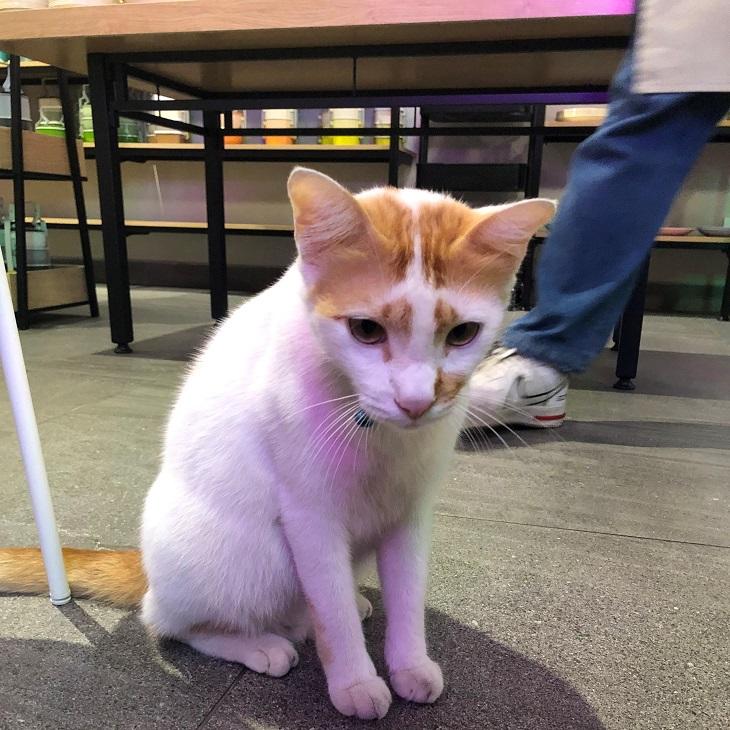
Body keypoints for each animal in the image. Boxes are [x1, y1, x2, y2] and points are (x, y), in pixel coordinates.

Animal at [0, 167, 554, 720]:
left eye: (462, 334)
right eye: (366, 329)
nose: (415, 401)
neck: (379, 435)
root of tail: (147, 569)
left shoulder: (411, 514)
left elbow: (407, 599)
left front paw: (410, 664)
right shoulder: (309, 515)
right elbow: (332, 613)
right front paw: (355, 681)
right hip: (252, 557)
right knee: (170, 622)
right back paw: (260, 643)